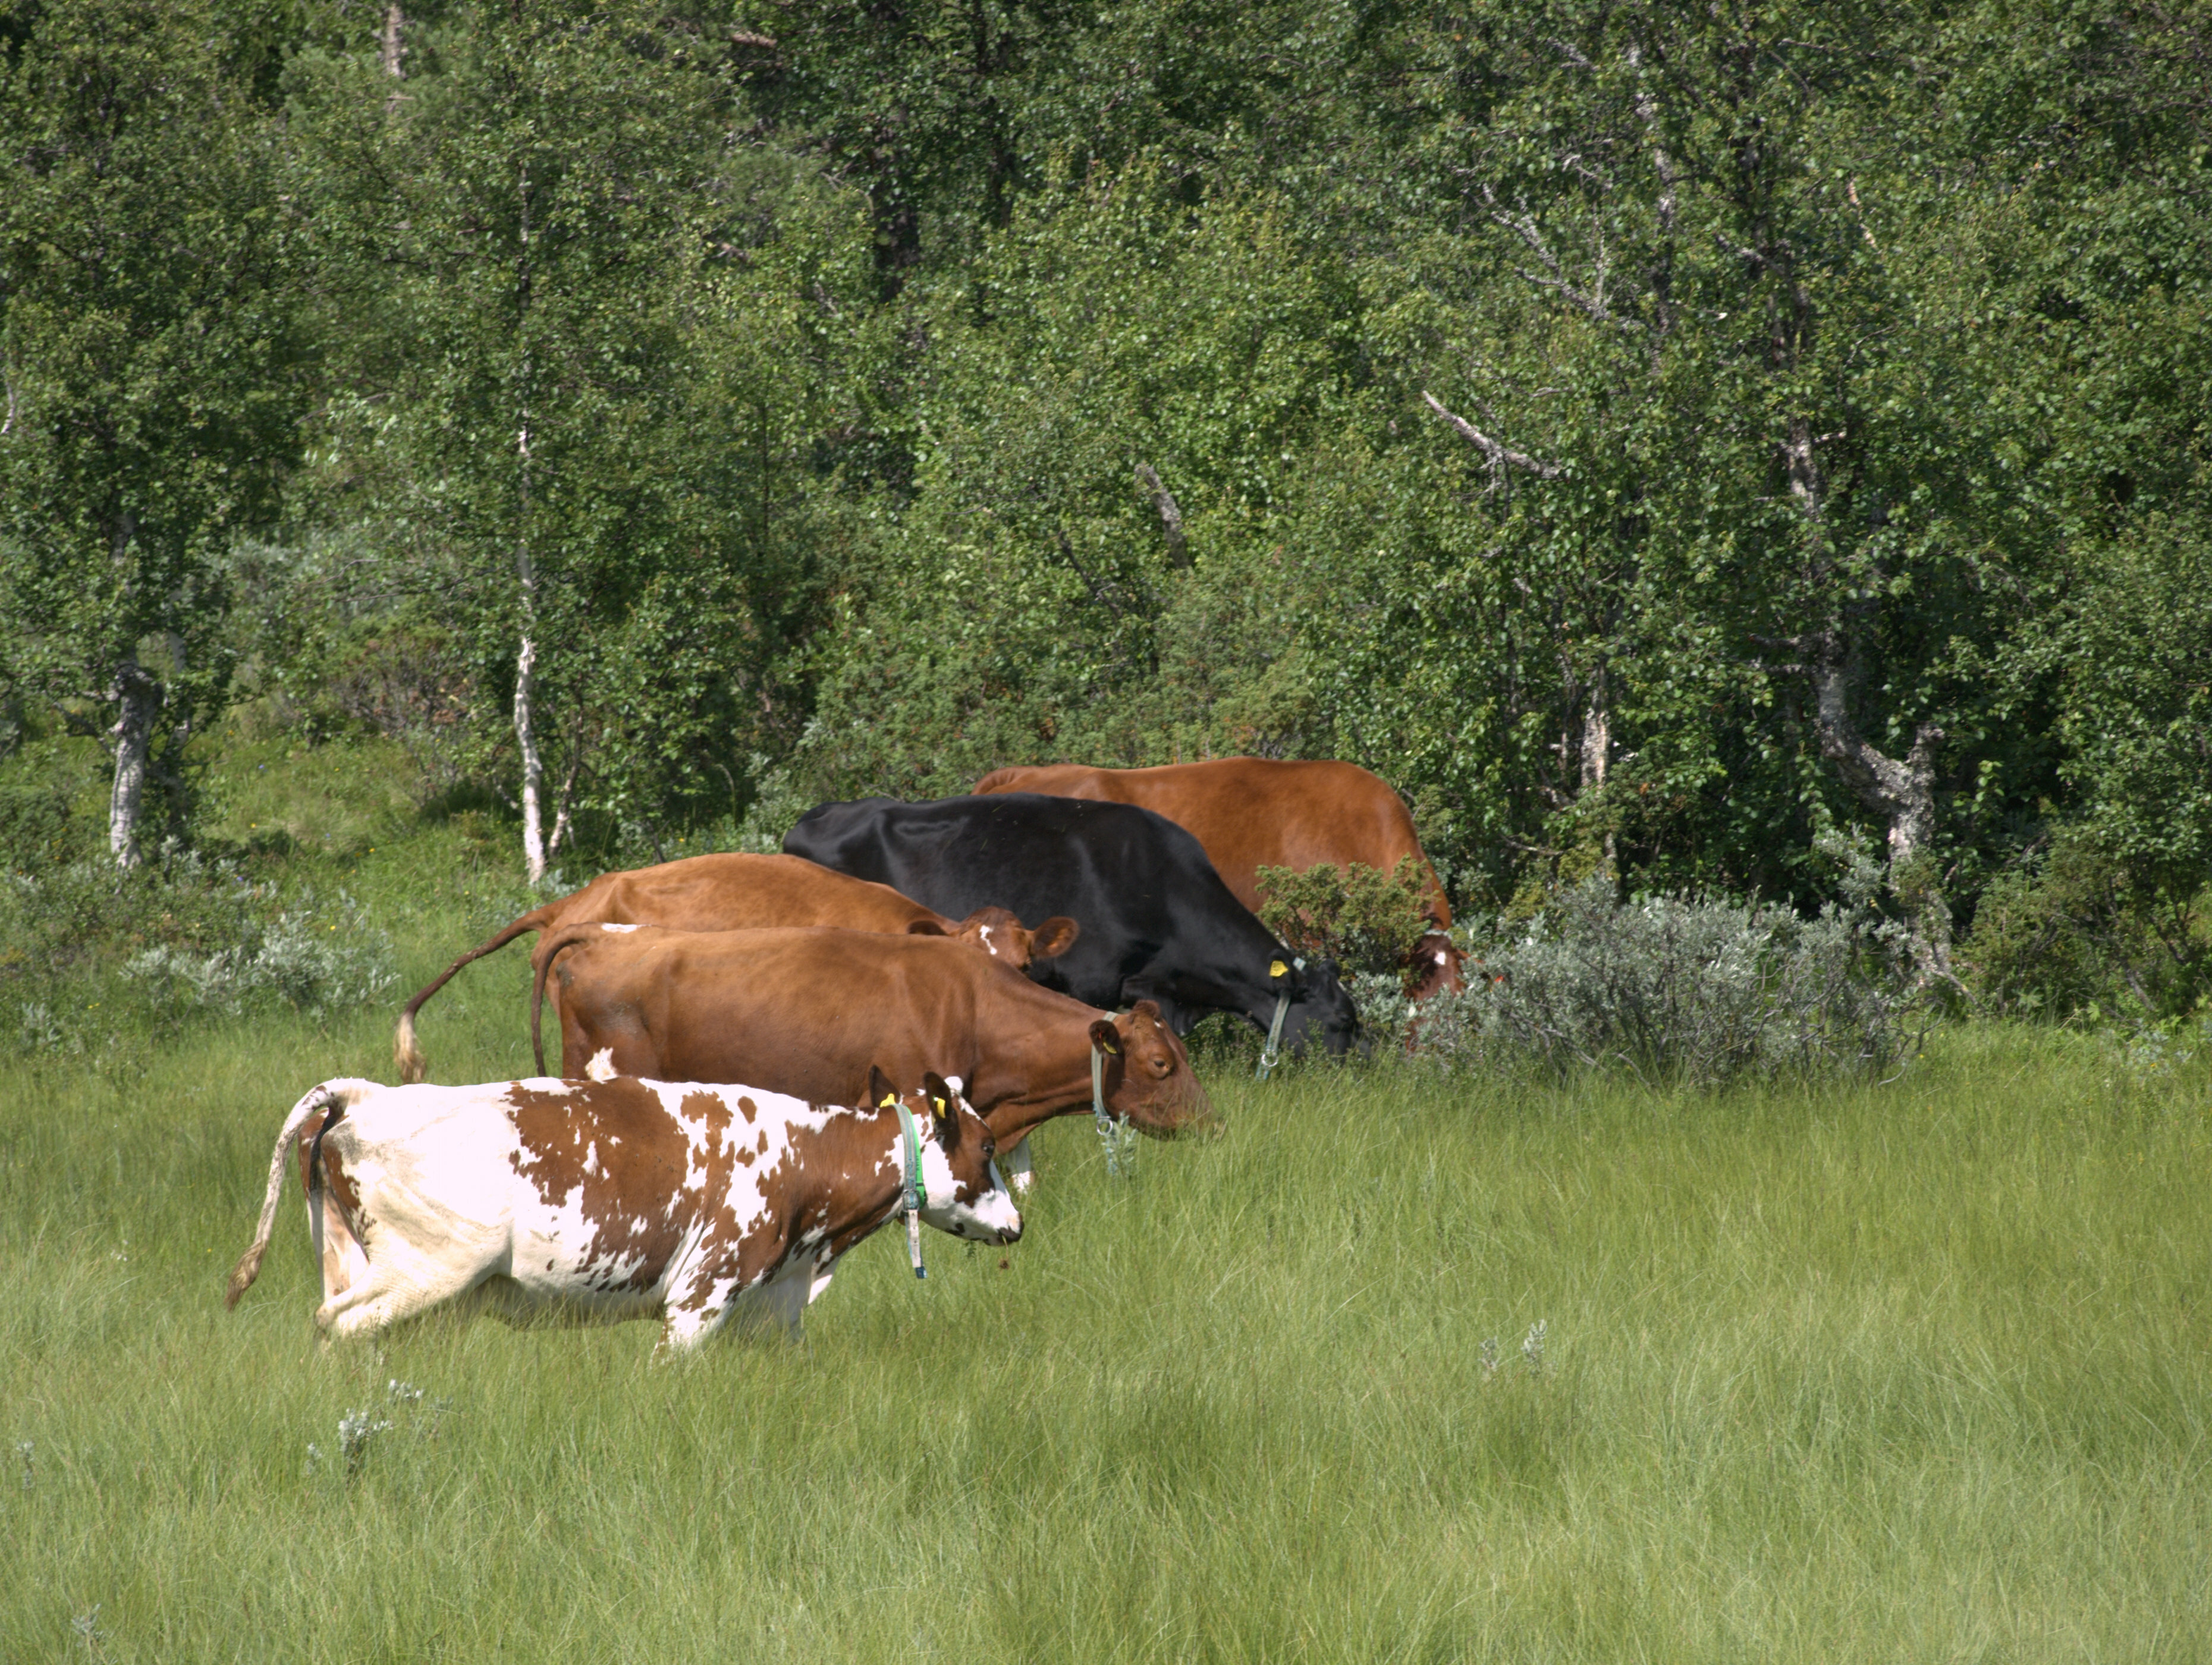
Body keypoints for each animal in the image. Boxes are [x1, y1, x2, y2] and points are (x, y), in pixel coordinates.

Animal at [224, 1066, 1017, 1353]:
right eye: (987, 1146)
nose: (1017, 1221)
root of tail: (369, 1093)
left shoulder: (772, 1303)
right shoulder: (702, 1294)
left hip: (359, 1260)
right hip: (425, 1270)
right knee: (339, 1325)